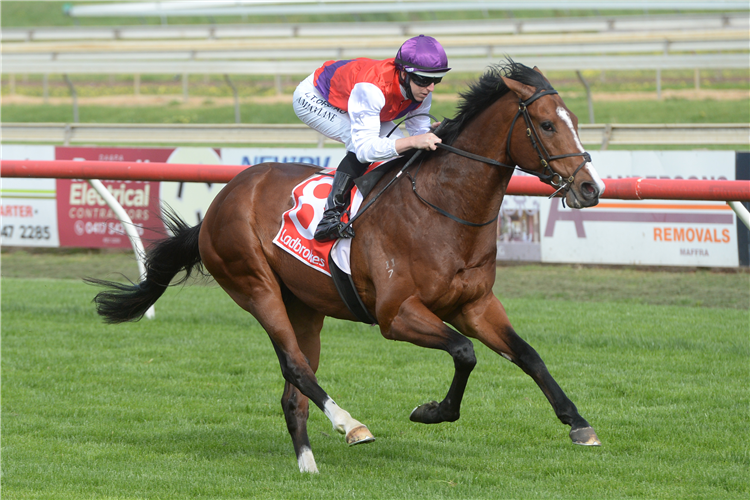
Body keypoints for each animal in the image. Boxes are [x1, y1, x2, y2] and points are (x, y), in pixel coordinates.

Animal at [89, 61, 604, 472]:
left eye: (575, 121)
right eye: (546, 125)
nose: (590, 187)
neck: (442, 210)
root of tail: (220, 202)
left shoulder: (475, 305)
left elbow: (528, 355)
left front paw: (579, 423)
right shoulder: (396, 315)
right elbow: (464, 353)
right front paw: (431, 411)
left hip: (305, 307)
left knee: (293, 391)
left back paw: (308, 464)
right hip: (255, 285)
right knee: (297, 368)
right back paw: (350, 424)